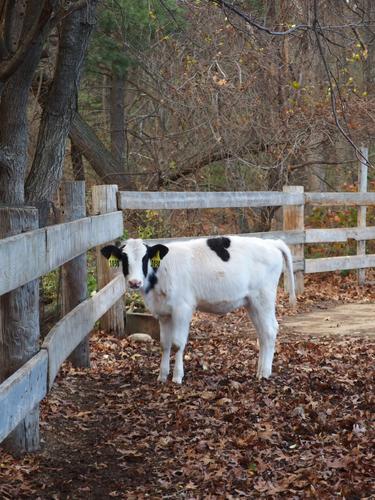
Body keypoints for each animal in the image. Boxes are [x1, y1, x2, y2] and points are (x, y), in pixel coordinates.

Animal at [102, 236, 296, 384]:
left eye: (145, 258)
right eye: (124, 258)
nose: (135, 282)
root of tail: (272, 243)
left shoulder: (182, 309)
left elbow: (178, 343)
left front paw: (177, 377)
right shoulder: (164, 314)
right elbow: (165, 344)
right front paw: (162, 375)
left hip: (264, 298)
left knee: (270, 330)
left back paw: (265, 372)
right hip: (252, 303)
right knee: (262, 333)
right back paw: (259, 369)